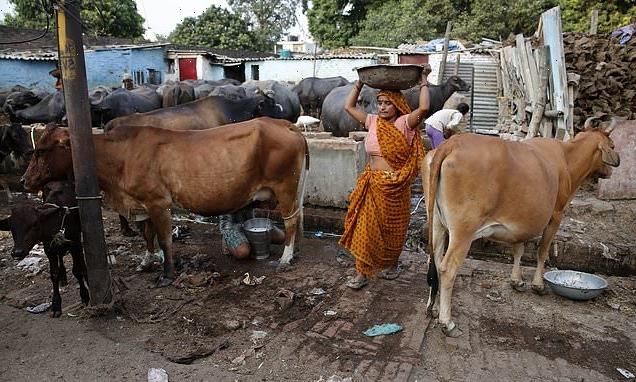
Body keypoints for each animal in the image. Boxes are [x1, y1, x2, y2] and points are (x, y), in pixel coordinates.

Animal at [0, 181, 89, 316]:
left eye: (35, 224)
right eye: (11, 226)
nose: (17, 252)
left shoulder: (75, 244)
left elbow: (78, 270)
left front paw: (85, 297)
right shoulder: (49, 249)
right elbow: (54, 274)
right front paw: (56, 305)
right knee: (60, 257)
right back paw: (63, 277)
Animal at [20, 117, 308, 286]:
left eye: (41, 150)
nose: (24, 180)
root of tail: (284, 123)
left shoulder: (158, 202)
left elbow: (164, 240)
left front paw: (167, 274)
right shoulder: (142, 205)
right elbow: (147, 236)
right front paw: (146, 262)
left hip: (285, 188)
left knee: (292, 222)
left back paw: (286, 257)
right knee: (298, 220)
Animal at [424, 120, 620, 338]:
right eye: (612, 145)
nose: (616, 164)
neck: (567, 158)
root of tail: (451, 144)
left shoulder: (522, 221)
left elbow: (518, 249)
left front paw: (516, 280)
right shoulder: (556, 214)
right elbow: (542, 251)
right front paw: (538, 284)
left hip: (436, 222)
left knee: (434, 259)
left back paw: (433, 308)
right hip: (463, 230)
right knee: (447, 268)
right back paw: (447, 322)